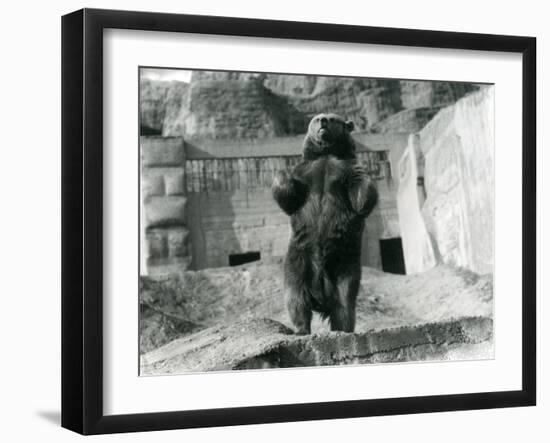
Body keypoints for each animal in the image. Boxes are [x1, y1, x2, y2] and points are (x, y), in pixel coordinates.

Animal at [272, 112, 380, 334]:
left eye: (332, 118)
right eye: (316, 119)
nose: (322, 120)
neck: (327, 154)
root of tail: (320, 294)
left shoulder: (345, 169)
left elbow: (361, 193)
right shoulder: (305, 172)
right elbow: (290, 197)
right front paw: (280, 173)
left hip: (344, 260)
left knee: (344, 299)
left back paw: (342, 328)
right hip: (298, 257)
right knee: (295, 295)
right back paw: (301, 328)